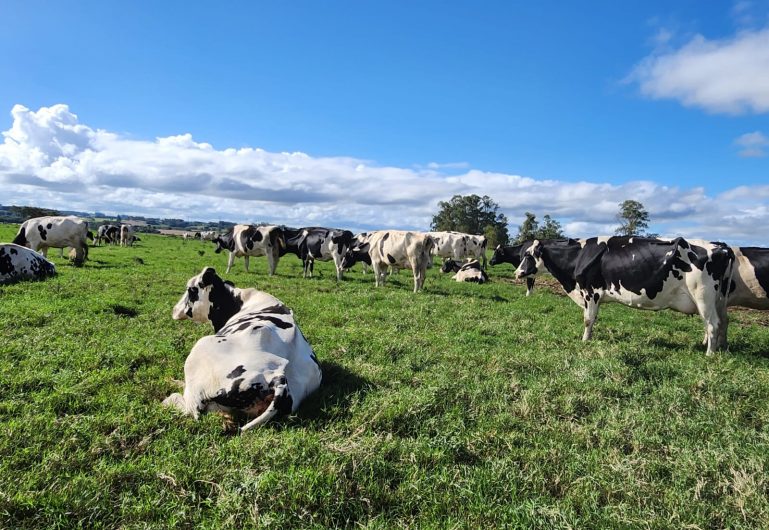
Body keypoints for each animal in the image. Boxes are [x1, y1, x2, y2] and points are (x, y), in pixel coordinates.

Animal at [512, 236, 736, 352]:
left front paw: (584, 341)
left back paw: (709, 354)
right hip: (717, 300)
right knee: (720, 323)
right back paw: (715, 346)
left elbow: (587, 319)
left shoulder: (590, 292)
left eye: (528, 255)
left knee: (712, 324)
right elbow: (593, 320)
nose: (517, 273)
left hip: (703, 296)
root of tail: (722, 246)